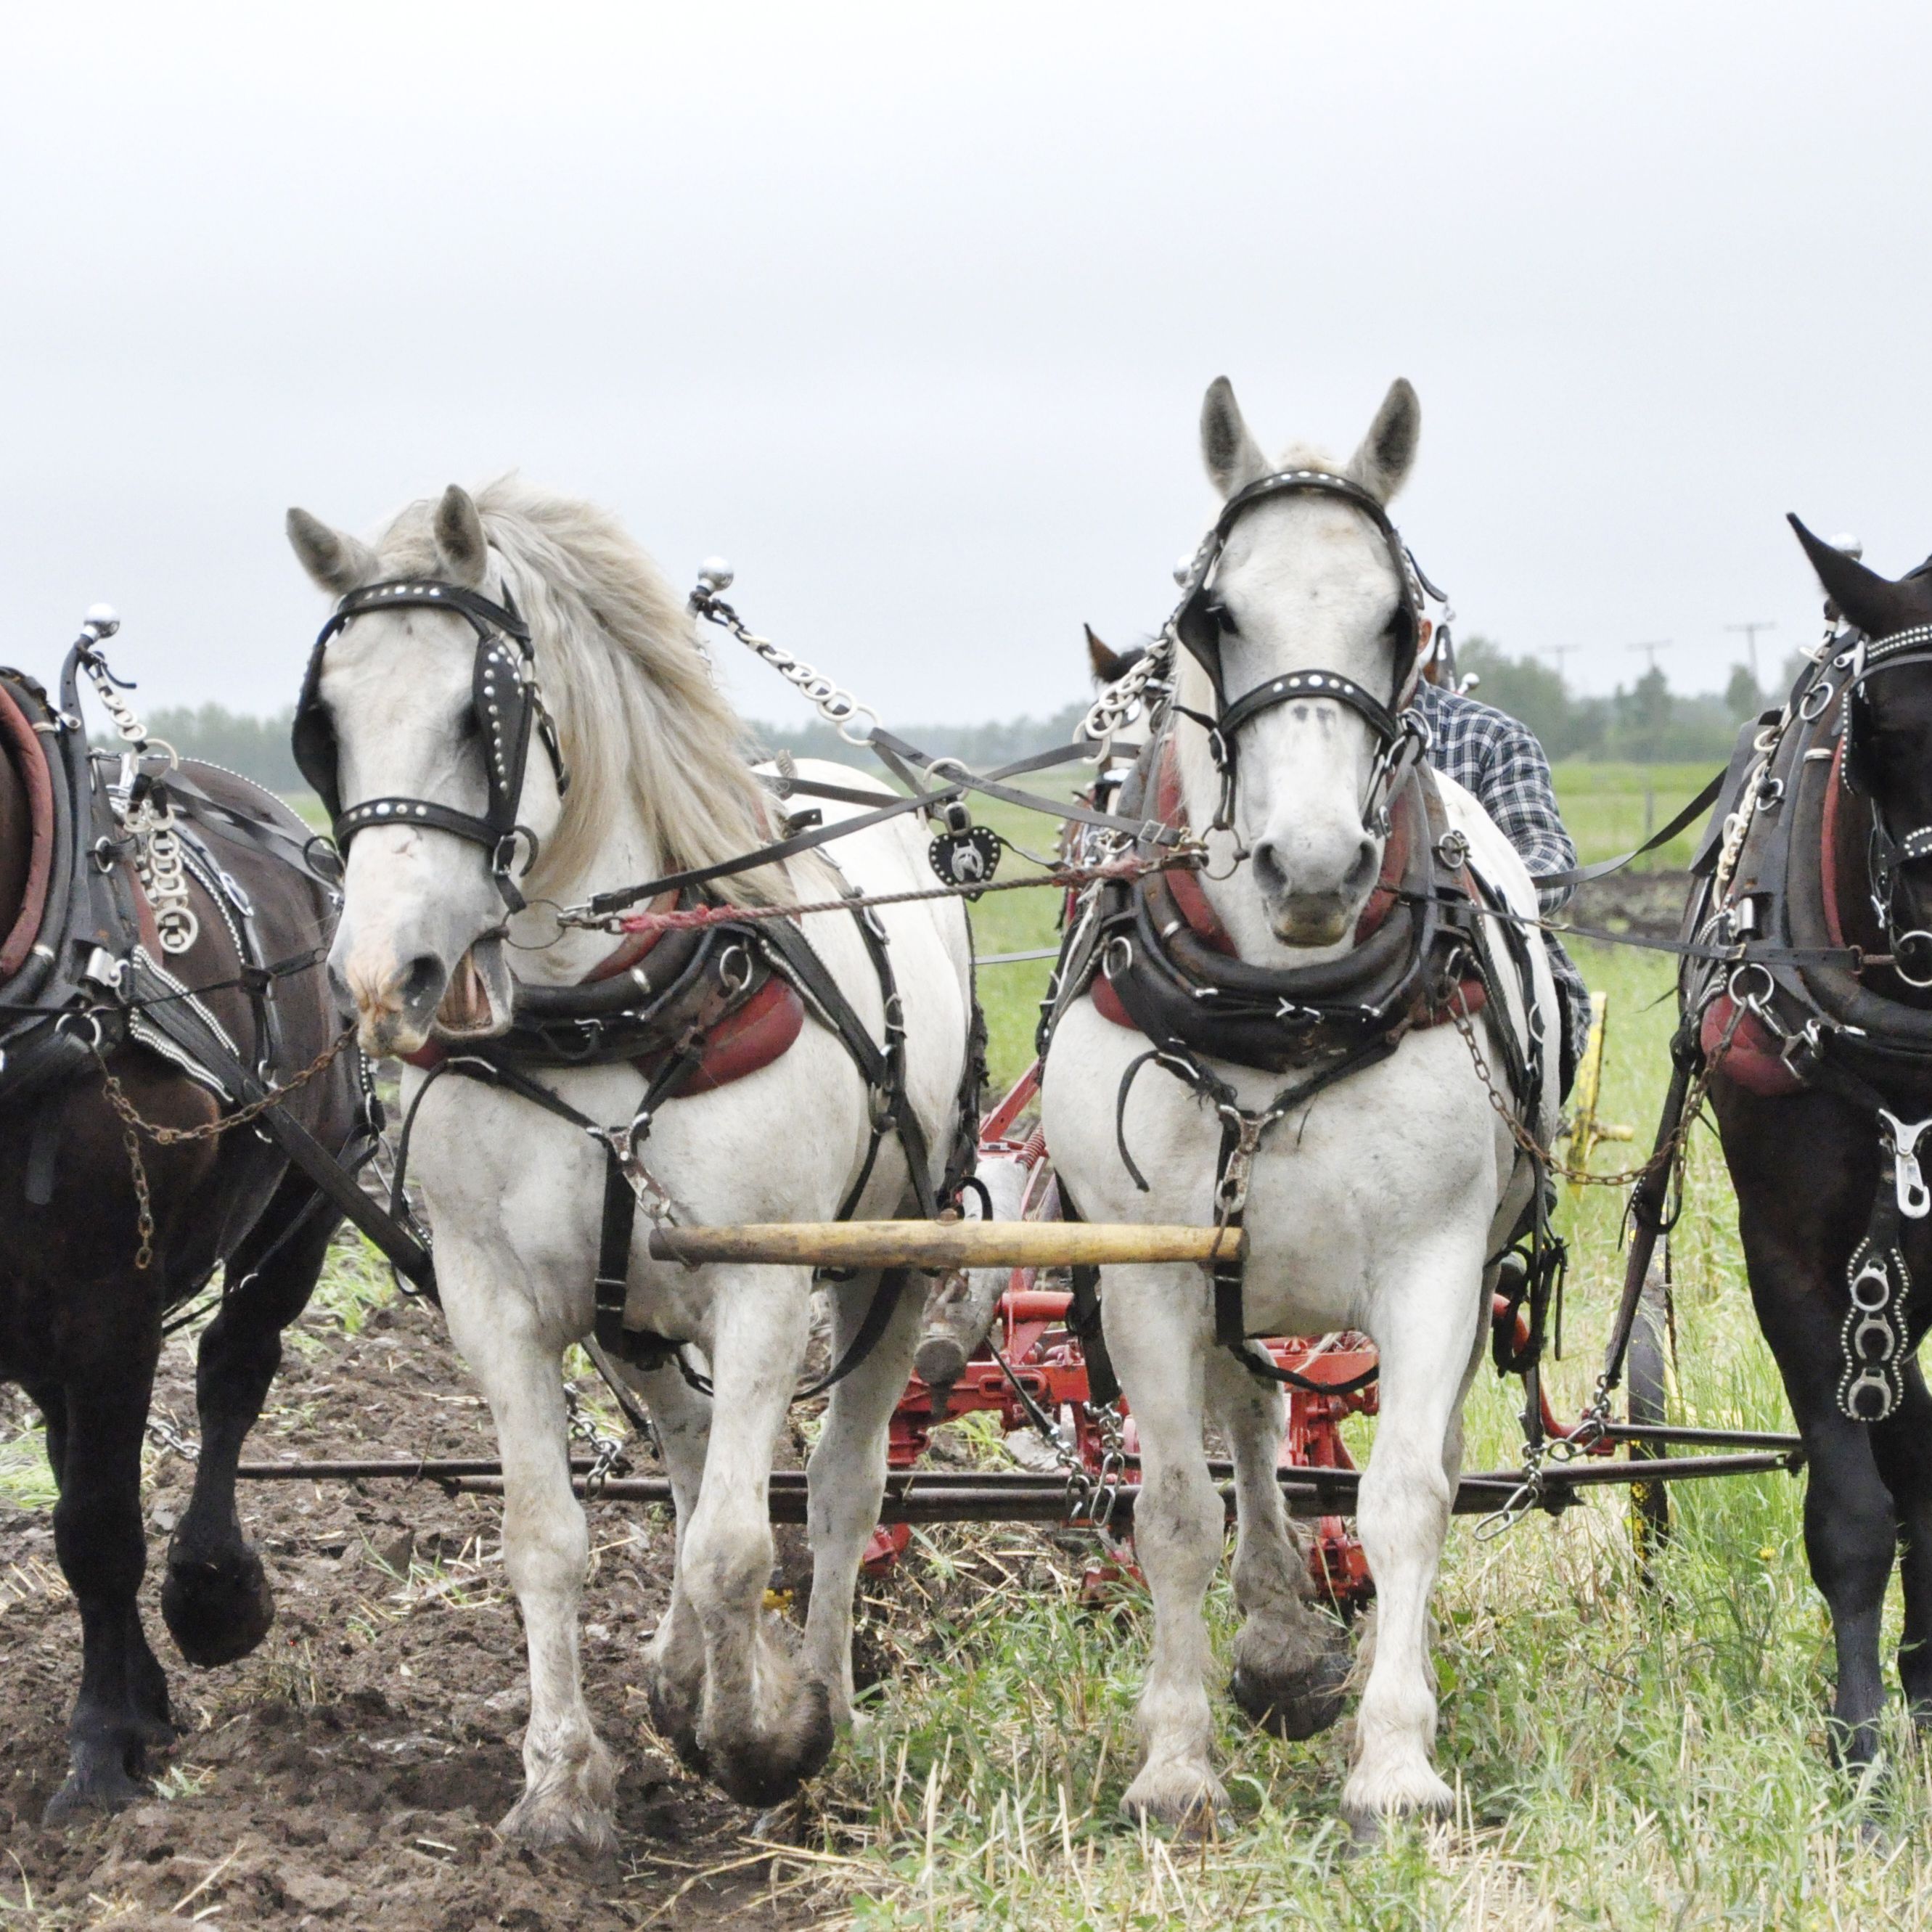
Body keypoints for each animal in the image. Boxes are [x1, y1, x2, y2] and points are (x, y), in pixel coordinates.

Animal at [0, 622, 365, 1823]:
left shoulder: (109, 1290)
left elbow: (99, 1528)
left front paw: (100, 1748)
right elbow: (80, 1490)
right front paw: (127, 1710)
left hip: (308, 1196)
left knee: (231, 1374)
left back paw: (211, 1591)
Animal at [282, 479, 981, 1839]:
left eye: (478, 714)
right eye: (323, 726)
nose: (385, 979)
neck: (599, 1013)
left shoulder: (764, 1284)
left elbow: (737, 1545)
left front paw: (766, 1735)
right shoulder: (492, 1297)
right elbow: (547, 1534)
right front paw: (564, 1781)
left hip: (891, 1264)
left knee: (839, 1484)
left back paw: (823, 1693)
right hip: (634, 1312)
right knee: (690, 1450)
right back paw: (679, 1674)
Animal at [1043, 372, 1553, 1823]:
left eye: (1398, 620)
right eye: (1215, 616)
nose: (1313, 865)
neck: (1276, 1004)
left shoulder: (1434, 1261)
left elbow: (1403, 1497)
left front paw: (1395, 1759)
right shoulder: (1148, 1267)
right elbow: (1172, 1506)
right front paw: (1173, 1761)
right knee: (1254, 1420)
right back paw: (1273, 1641)